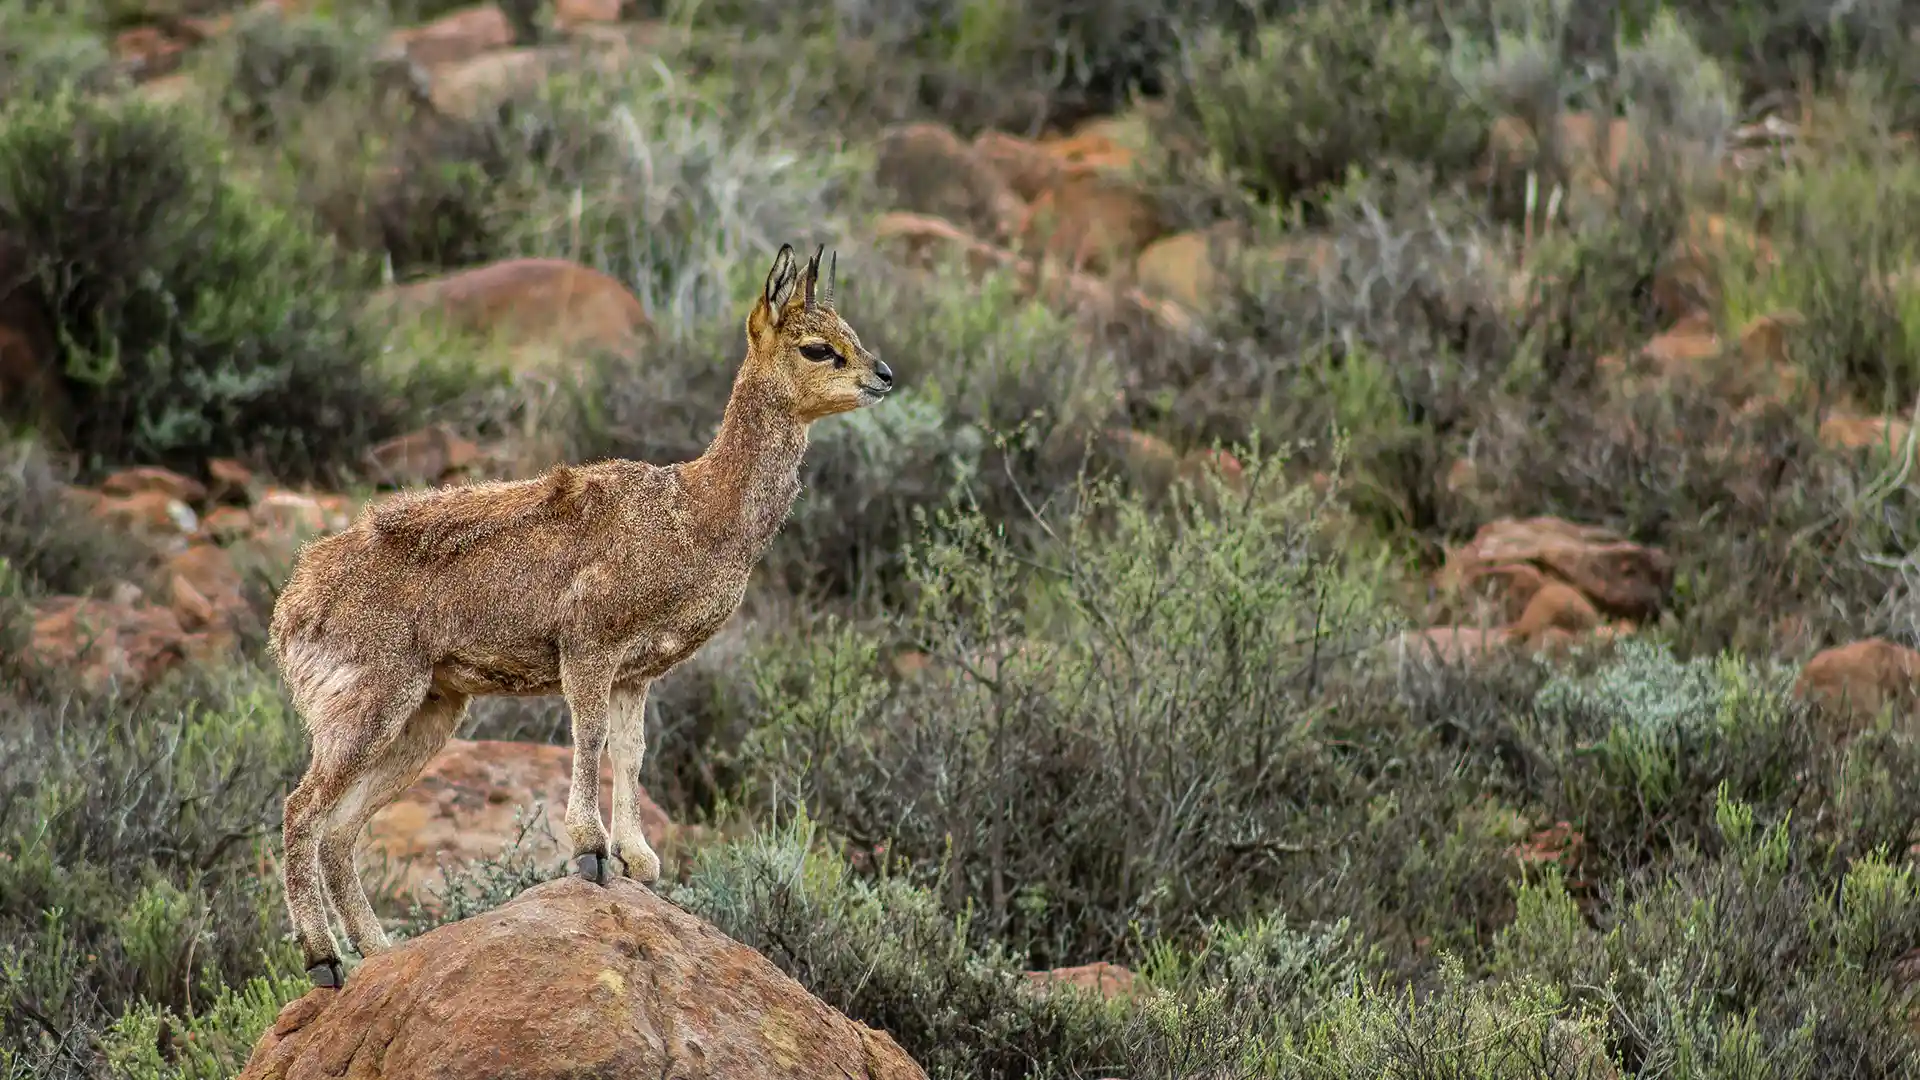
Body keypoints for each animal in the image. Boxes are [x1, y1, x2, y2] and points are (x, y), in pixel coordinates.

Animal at [270, 244, 898, 983]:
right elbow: (589, 735)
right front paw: (590, 851)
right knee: (301, 810)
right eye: (817, 346)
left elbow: (631, 752)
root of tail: (291, 607)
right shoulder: (590, 645)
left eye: (849, 329)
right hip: (369, 705)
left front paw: (638, 858)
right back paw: (322, 958)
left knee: (340, 830)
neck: (695, 513)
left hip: (429, 713)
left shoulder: (638, 672)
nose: (884, 375)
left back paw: (380, 953)